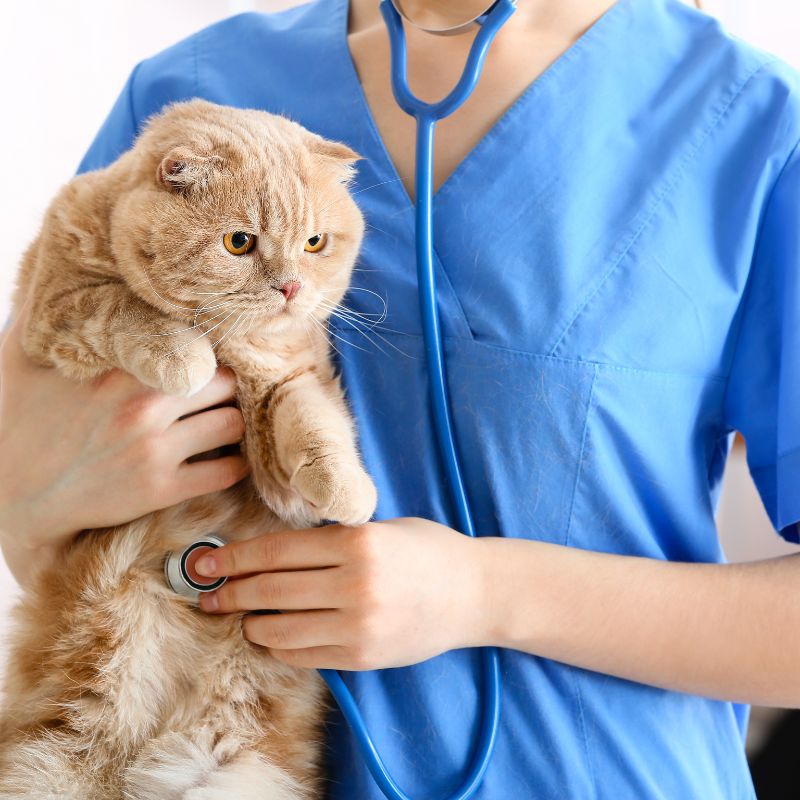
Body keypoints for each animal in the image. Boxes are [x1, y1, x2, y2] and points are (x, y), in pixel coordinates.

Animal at [0, 100, 378, 800]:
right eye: (239, 243)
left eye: (315, 243)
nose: (290, 287)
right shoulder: (54, 310)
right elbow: (125, 306)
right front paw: (184, 357)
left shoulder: (287, 393)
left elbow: (314, 425)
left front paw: (347, 487)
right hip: (47, 763)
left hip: (239, 774)